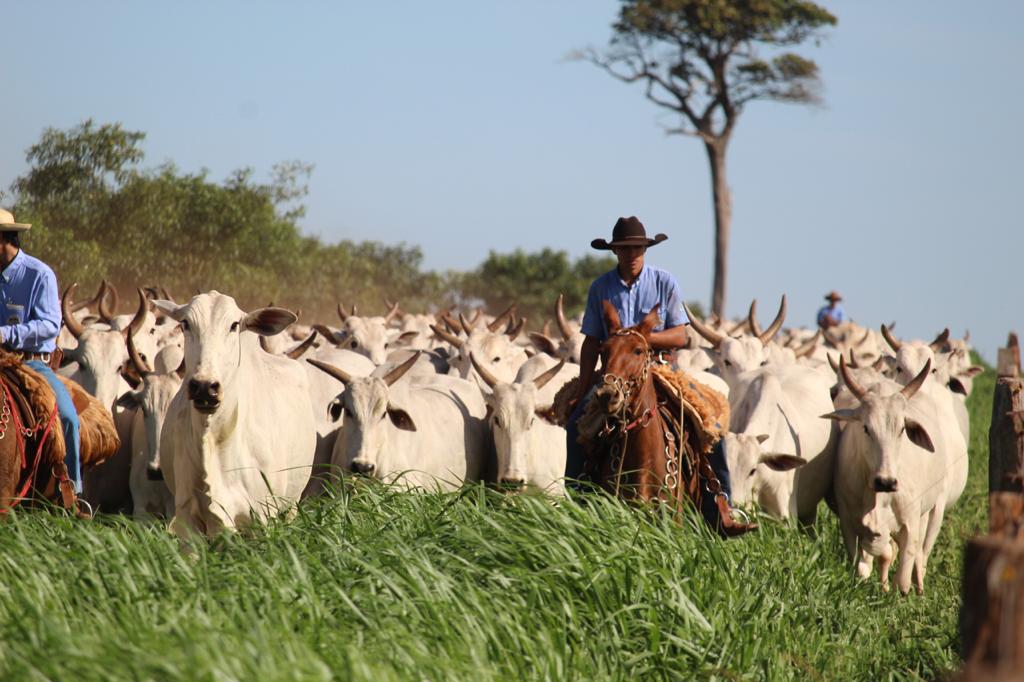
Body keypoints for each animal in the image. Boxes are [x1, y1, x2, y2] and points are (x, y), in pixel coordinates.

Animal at [154, 292, 315, 536]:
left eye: (234, 325)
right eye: (185, 323)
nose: (204, 387)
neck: (216, 439)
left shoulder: (263, 515)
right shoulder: (186, 516)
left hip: (291, 503)